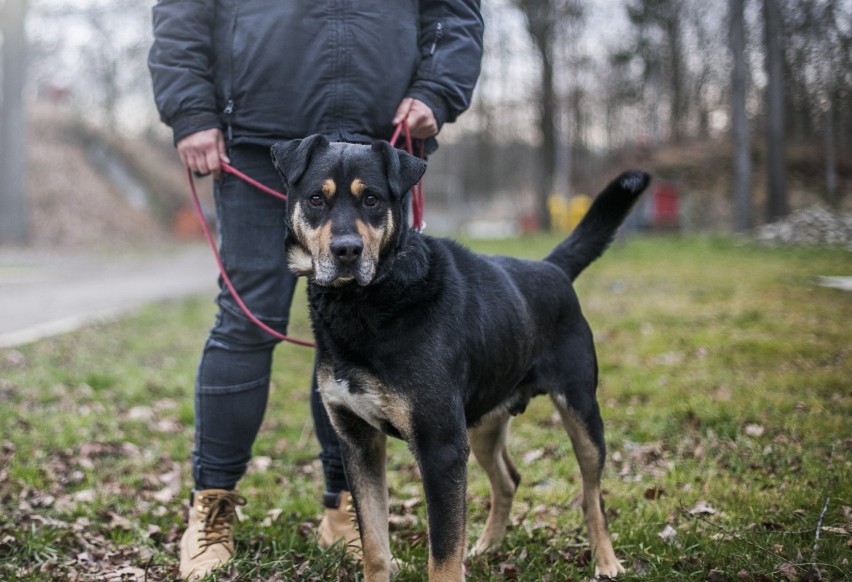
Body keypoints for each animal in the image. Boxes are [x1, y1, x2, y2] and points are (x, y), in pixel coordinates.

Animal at [270, 135, 648, 580]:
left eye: (372, 199)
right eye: (316, 199)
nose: (347, 250)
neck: (365, 301)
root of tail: (551, 268)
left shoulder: (442, 447)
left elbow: (444, 553)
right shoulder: (359, 442)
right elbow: (375, 545)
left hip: (581, 412)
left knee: (592, 496)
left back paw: (606, 561)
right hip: (483, 422)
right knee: (509, 479)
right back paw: (488, 545)